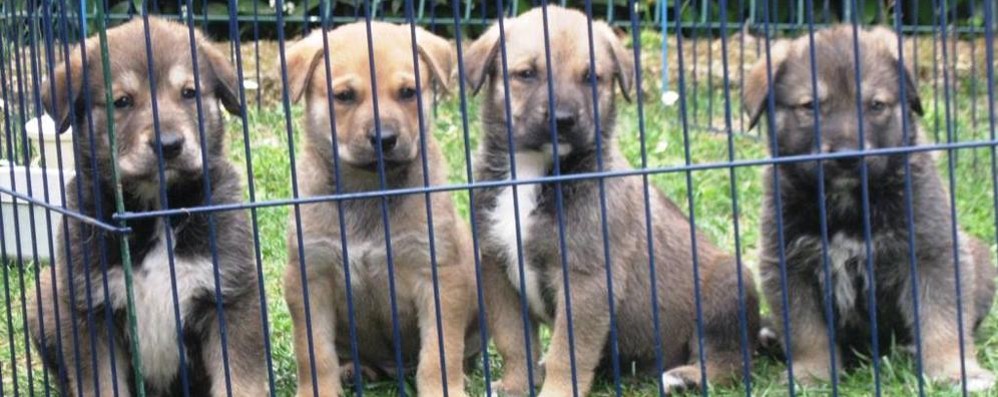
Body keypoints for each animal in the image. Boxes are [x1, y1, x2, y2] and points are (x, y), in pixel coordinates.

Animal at [26, 17, 268, 394]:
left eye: (189, 93)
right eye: (123, 101)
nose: (169, 145)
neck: (156, 210)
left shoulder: (231, 295)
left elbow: (240, 381)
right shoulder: (90, 310)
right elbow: (101, 384)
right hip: (45, 298)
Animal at [284, 20, 482, 396]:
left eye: (407, 92)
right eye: (344, 96)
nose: (385, 139)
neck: (369, 189)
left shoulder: (436, 275)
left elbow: (439, 353)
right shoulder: (310, 278)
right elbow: (314, 354)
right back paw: (354, 369)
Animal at [464, 6, 760, 396]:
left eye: (592, 77)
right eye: (526, 74)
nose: (563, 120)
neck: (536, 171)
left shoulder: (587, 279)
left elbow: (567, 354)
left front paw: (556, 391)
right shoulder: (496, 269)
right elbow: (514, 343)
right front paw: (516, 385)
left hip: (728, 290)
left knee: (731, 362)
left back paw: (684, 376)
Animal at [748, 25, 996, 390]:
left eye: (876, 105)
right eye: (810, 106)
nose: (847, 157)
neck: (849, 202)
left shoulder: (931, 252)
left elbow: (942, 320)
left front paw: (954, 370)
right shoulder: (789, 264)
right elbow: (807, 331)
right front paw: (811, 374)